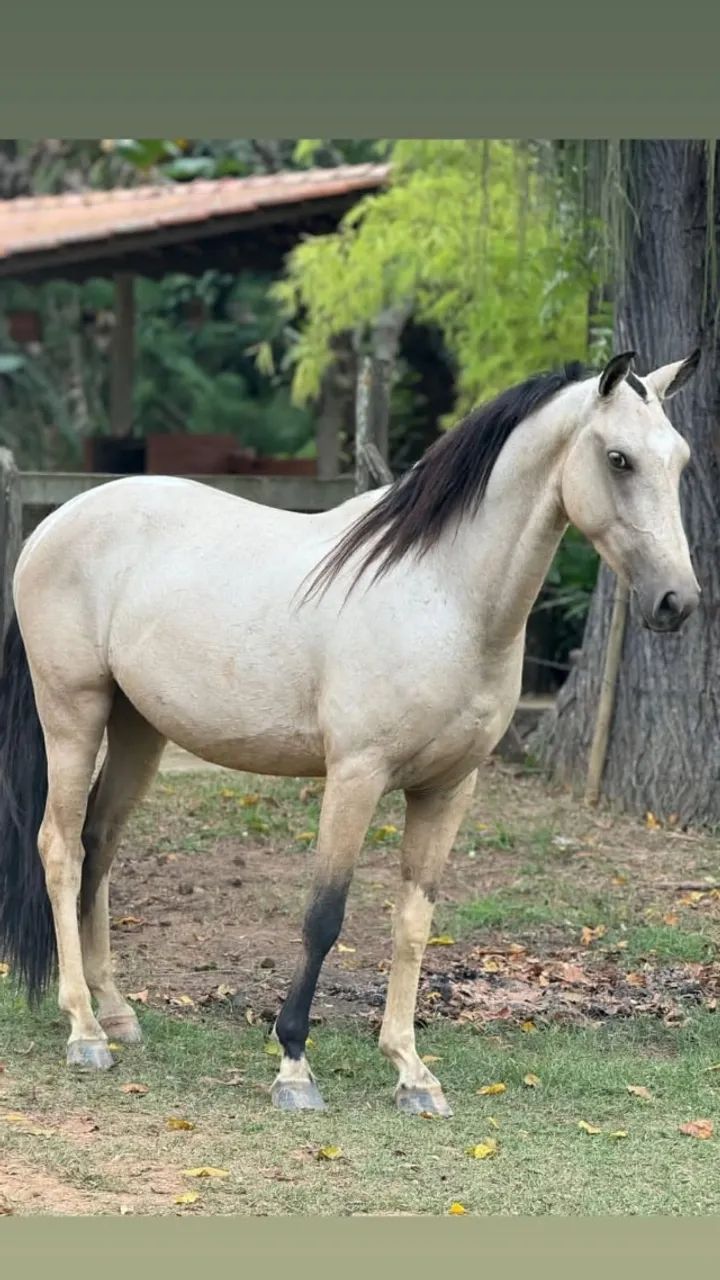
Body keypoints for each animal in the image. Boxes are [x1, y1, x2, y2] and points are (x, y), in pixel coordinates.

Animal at [0, 349, 701, 1118]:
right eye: (618, 459)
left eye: (680, 460)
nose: (678, 602)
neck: (443, 594)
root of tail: (52, 525)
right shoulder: (356, 778)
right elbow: (324, 917)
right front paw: (294, 1067)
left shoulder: (448, 790)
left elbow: (413, 922)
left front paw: (412, 1071)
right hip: (73, 714)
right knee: (61, 849)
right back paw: (84, 1029)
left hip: (138, 731)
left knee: (99, 847)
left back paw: (118, 1012)